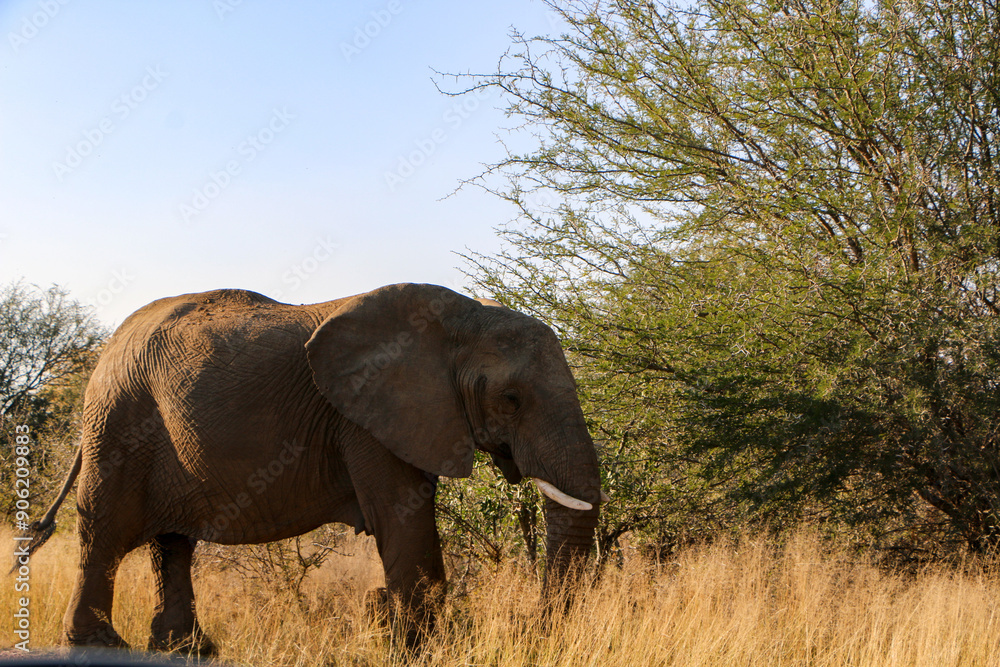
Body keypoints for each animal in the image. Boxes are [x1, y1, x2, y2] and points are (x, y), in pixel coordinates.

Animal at [23, 283, 605, 653]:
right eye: (510, 399)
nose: (525, 625)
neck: (460, 315)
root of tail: (105, 349)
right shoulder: (365, 418)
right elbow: (402, 517)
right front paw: (422, 650)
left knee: (172, 543)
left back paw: (187, 649)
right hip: (119, 423)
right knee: (105, 531)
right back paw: (101, 644)